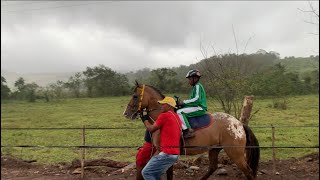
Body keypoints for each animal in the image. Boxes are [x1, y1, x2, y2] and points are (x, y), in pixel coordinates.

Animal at [123, 82, 260, 180]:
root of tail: (239, 124)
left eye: (135, 96)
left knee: (248, 172)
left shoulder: (163, 151)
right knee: (213, 167)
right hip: (214, 149)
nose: (126, 113)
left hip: (235, 153)